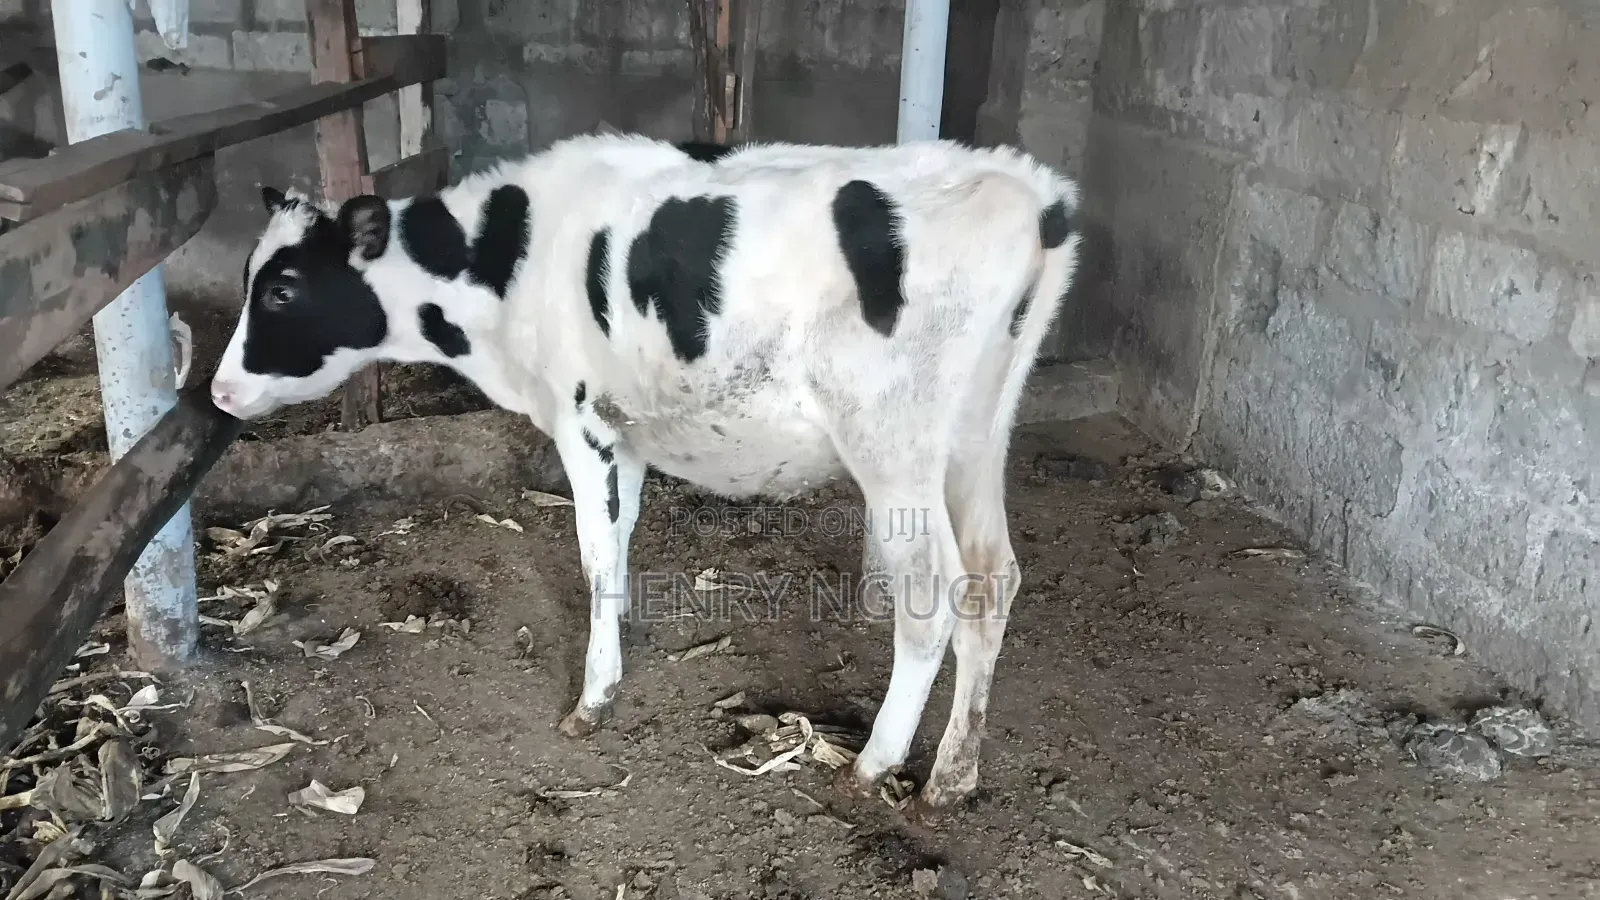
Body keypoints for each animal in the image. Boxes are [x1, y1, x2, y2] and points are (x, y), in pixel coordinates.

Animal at [209, 131, 1081, 813]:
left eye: (283, 288)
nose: (218, 391)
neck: (510, 261)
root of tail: (1031, 190)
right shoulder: (622, 431)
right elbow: (619, 546)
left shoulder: (582, 421)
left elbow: (595, 556)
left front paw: (593, 697)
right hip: (976, 434)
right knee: (993, 579)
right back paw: (953, 776)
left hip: (892, 443)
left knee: (935, 594)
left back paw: (876, 761)